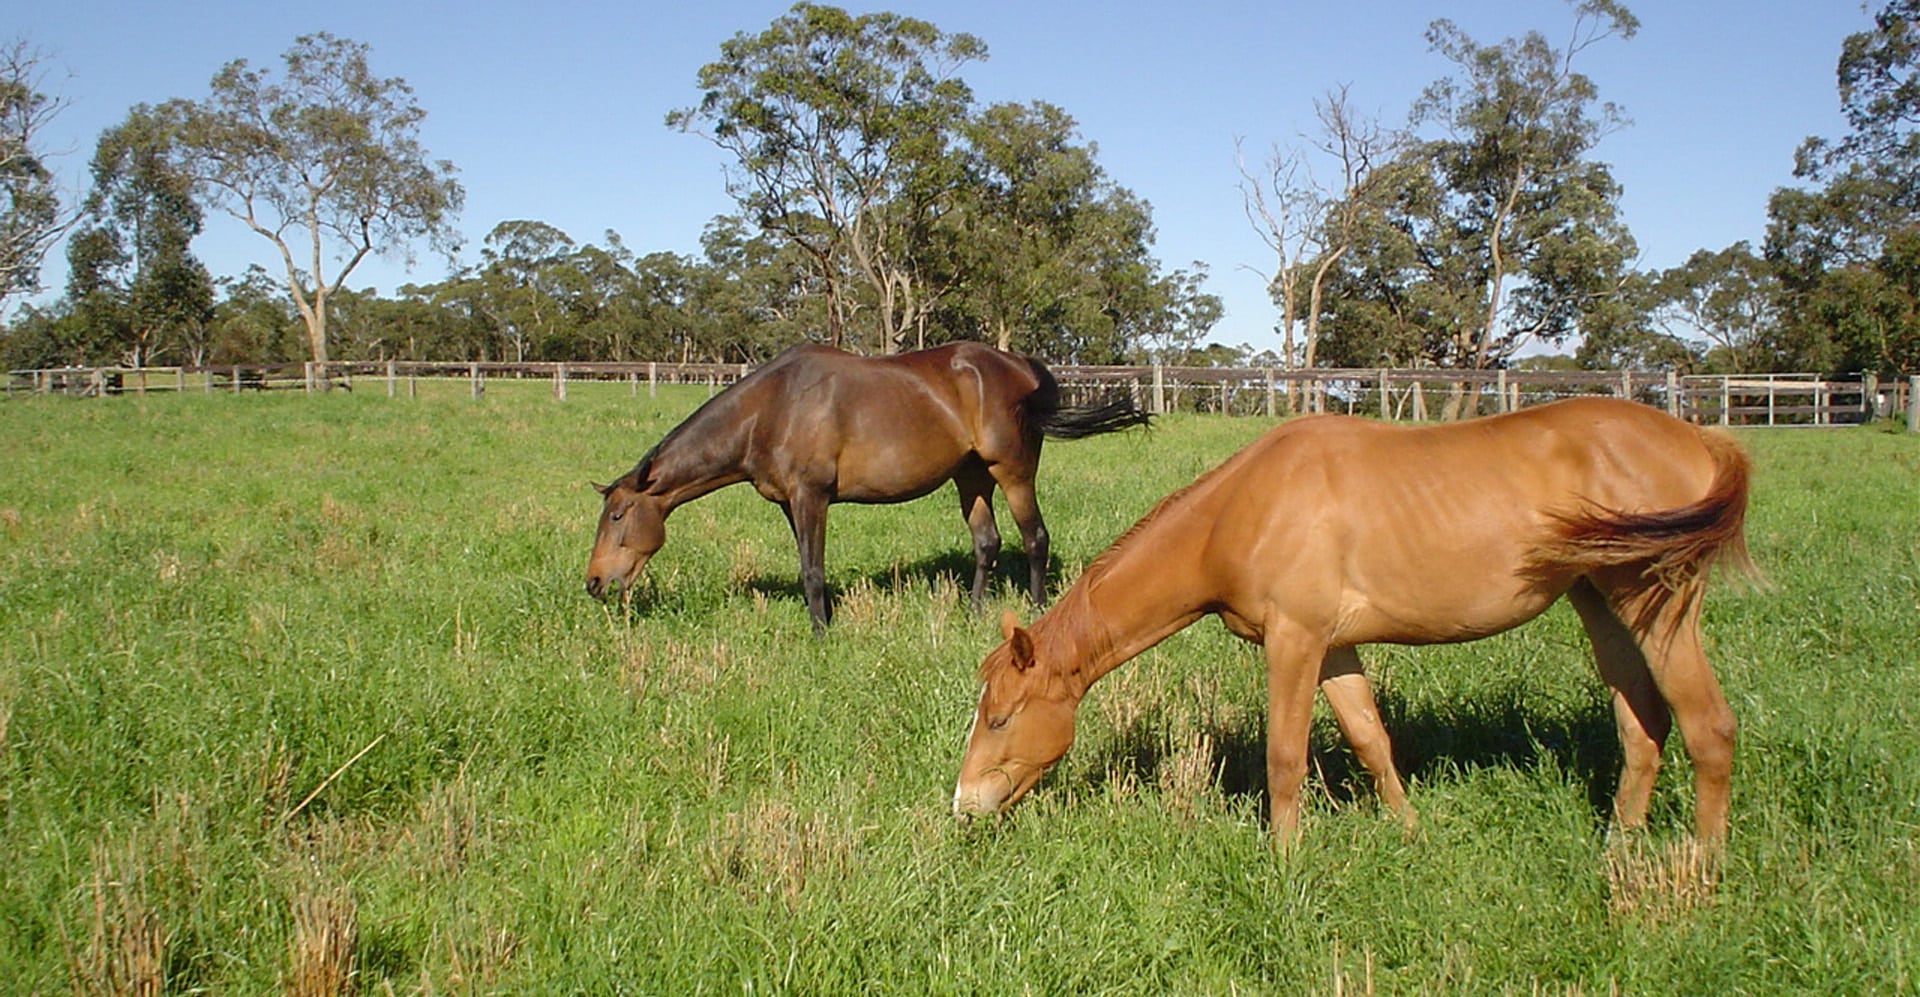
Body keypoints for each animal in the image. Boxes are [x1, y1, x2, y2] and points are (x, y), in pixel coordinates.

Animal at [583, 343, 1144, 633]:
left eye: (617, 516)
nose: (594, 582)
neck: (771, 409)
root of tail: (1023, 366)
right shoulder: (790, 503)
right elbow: (809, 566)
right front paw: (824, 619)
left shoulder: (811, 496)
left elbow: (812, 570)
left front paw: (820, 633)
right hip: (971, 476)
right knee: (986, 543)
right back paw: (973, 611)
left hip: (1013, 471)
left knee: (1035, 538)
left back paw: (1034, 610)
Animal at [948, 397, 1758, 849]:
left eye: (1000, 718)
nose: (963, 807)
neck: (1243, 509)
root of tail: (1701, 440)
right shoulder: (1335, 648)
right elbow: (1372, 741)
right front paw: (1410, 833)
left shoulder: (1295, 642)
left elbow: (1285, 757)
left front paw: (1285, 861)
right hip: (1601, 603)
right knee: (1643, 723)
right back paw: (1619, 846)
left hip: (1655, 604)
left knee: (1708, 726)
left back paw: (1700, 867)